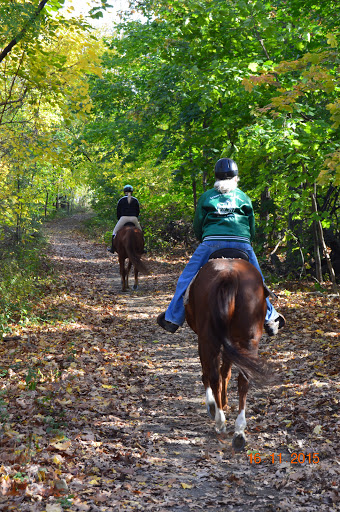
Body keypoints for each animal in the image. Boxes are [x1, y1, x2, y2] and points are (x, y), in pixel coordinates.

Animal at [185, 254, 270, 450]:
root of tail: (229, 276)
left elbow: (213, 372)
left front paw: (215, 404)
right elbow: (227, 372)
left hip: (208, 338)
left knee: (213, 375)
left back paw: (220, 420)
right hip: (249, 340)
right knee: (243, 379)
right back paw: (239, 431)